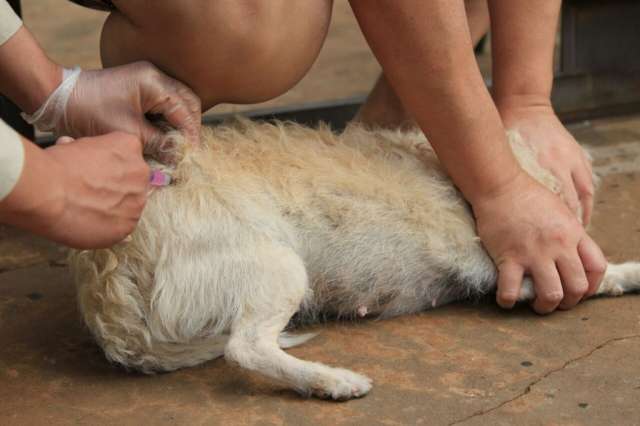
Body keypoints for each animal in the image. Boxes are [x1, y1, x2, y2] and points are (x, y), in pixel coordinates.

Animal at [70, 119, 640, 400]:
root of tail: (108, 269)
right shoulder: (501, 268)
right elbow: (593, 276)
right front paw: (626, 270)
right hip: (279, 268)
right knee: (244, 349)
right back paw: (331, 381)